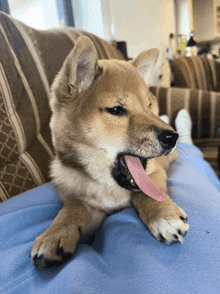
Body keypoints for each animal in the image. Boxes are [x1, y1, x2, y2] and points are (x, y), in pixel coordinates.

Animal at [30, 35, 189, 268]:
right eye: (116, 110)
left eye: (148, 106)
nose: (172, 137)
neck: (107, 186)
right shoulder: (89, 205)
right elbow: (74, 205)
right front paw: (54, 234)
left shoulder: (154, 172)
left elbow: (147, 193)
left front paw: (163, 215)